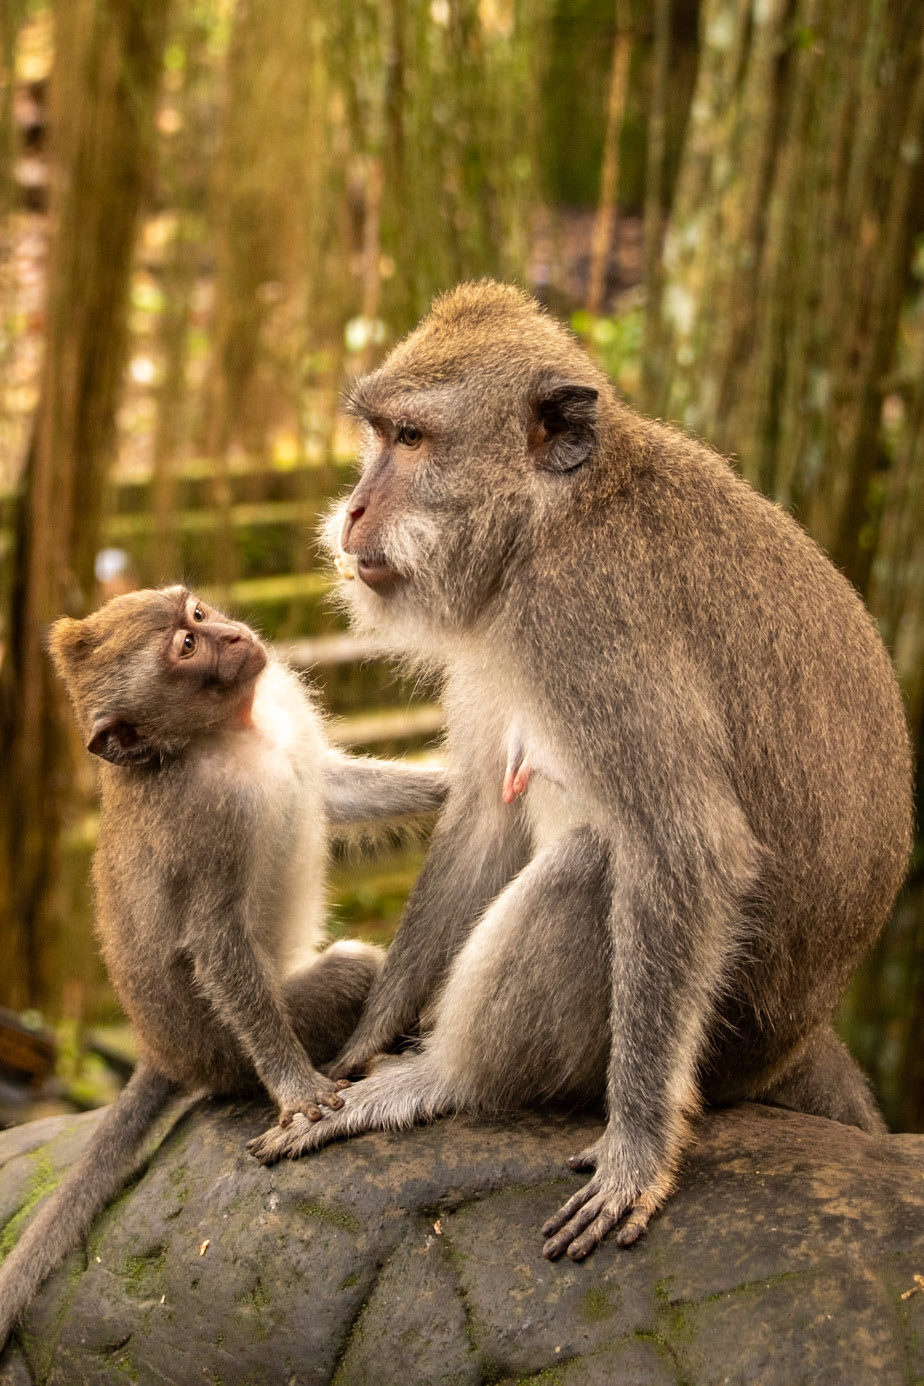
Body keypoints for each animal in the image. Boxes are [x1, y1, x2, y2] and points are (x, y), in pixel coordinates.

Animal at [0, 585, 447, 1346]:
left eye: (197, 614)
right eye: (186, 649)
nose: (235, 636)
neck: (229, 731)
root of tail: (162, 1052)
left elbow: (335, 788)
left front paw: (456, 782)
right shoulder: (200, 817)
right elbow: (215, 941)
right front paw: (296, 1090)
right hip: (226, 1047)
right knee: (347, 973)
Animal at [247, 280, 913, 1263]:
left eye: (412, 439)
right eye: (378, 434)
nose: (355, 511)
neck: (549, 522)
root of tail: (801, 1039)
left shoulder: (587, 624)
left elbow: (687, 849)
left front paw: (637, 1152)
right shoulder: (496, 634)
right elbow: (483, 819)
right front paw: (361, 1043)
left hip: (720, 1046)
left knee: (595, 865)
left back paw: (445, 1080)